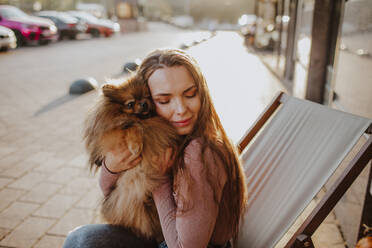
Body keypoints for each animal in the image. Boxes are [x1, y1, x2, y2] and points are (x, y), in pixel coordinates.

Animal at [83, 75, 179, 240]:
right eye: (130, 104)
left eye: (148, 96)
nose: (144, 103)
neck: (145, 120)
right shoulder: (112, 133)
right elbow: (131, 127)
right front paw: (135, 146)